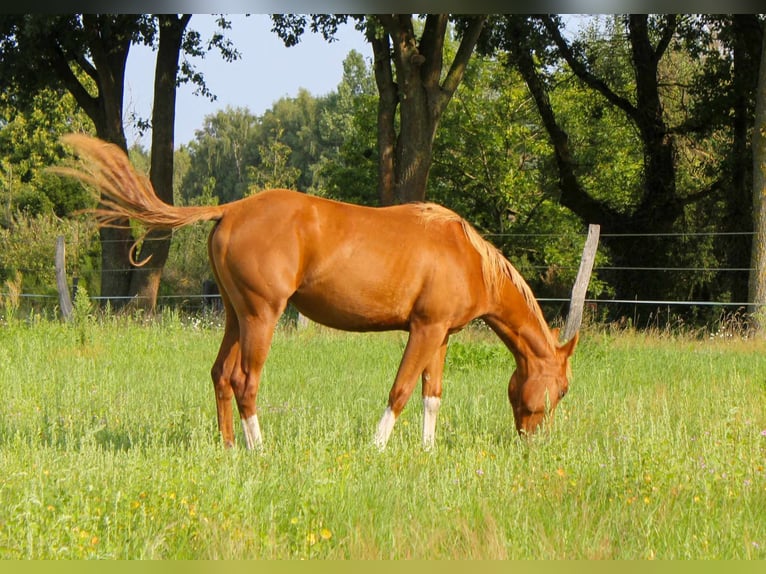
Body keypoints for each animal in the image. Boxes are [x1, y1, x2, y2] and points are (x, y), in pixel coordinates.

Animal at [57, 135, 580, 450]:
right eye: (562, 389)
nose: (532, 442)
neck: (464, 252)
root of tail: (231, 209)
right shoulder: (424, 330)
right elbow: (401, 390)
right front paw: (377, 448)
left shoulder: (441, 336)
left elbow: (432, 394)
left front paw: (428, 450)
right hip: (261, 317)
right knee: (246, 382)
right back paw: (259, 449)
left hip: (234, 316)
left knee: (221, 376)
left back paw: (229, 447)